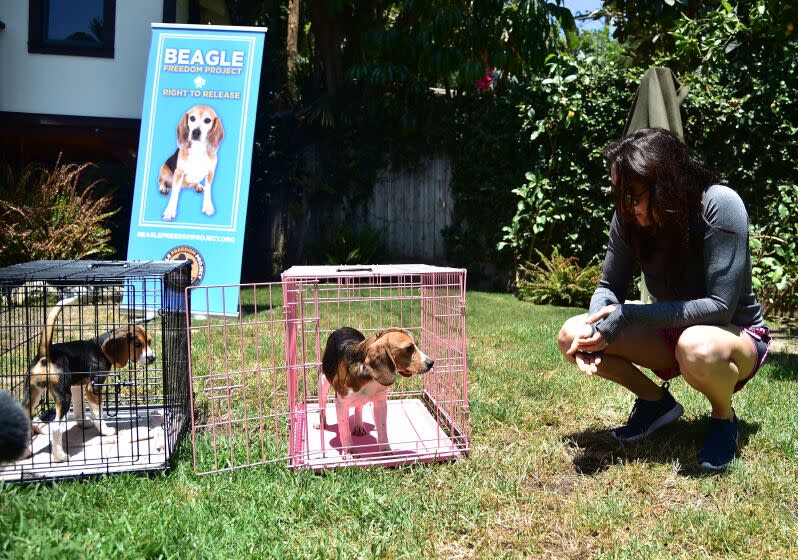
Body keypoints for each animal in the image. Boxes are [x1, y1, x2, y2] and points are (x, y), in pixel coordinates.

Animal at [21, 300, 156, 462]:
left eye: (149, 342)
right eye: (137, 345)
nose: (152, 358)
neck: (101, 349)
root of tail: (46, 356)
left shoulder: (77, 387)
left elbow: (79, 408)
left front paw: (83, 424)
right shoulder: (93, 387)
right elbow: (97, 413)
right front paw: (105, 431)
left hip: (32, 394)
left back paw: (25, 452)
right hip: (63, 396)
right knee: (56, 427)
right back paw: (60, 455)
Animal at [318, 328, 434, 456]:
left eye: (417, 344)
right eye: (409, 348)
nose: (431, 363)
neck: (368, 376)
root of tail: (343, 328)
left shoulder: (380, 403)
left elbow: (383, 430)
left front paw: (386, 451)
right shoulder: (341, 404)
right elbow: (344, 431)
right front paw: (350, 451)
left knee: (358, 408)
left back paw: (358, 425)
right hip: (322, 383)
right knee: (322, 406)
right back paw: (321, 423)